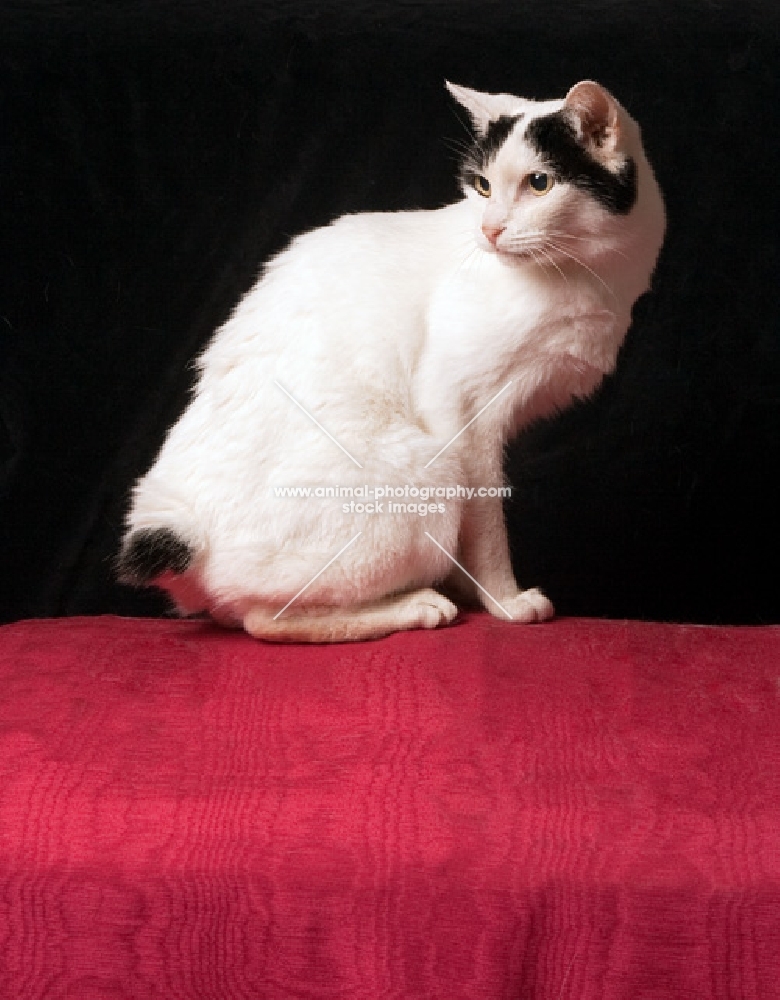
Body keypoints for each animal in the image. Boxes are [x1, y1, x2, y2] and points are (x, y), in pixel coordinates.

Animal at [119, 78, 668, 640]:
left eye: (539, 184)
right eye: (482, 186)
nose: (489, 231)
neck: (585, 276)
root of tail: (176, 518)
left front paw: (470, 587)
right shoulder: (460, 410)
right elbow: (486, 522)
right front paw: (504, 600)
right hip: (431, 472)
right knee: (262, 619)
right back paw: (416, 606)